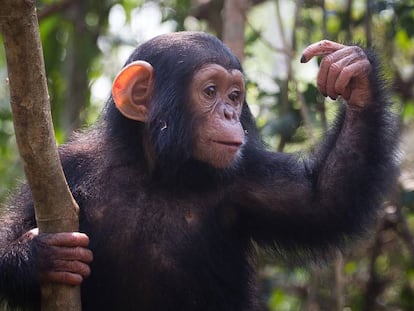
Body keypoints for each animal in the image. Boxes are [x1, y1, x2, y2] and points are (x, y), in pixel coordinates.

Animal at [0, 30, 402, 310]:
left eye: (234, 96)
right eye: (210, 91)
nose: (228, 114)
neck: (156, 172)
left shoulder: (246, 177)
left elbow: (324, 201)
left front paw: (355, 76)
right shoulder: (66, 170)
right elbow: (10, 231)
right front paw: (40, 255)